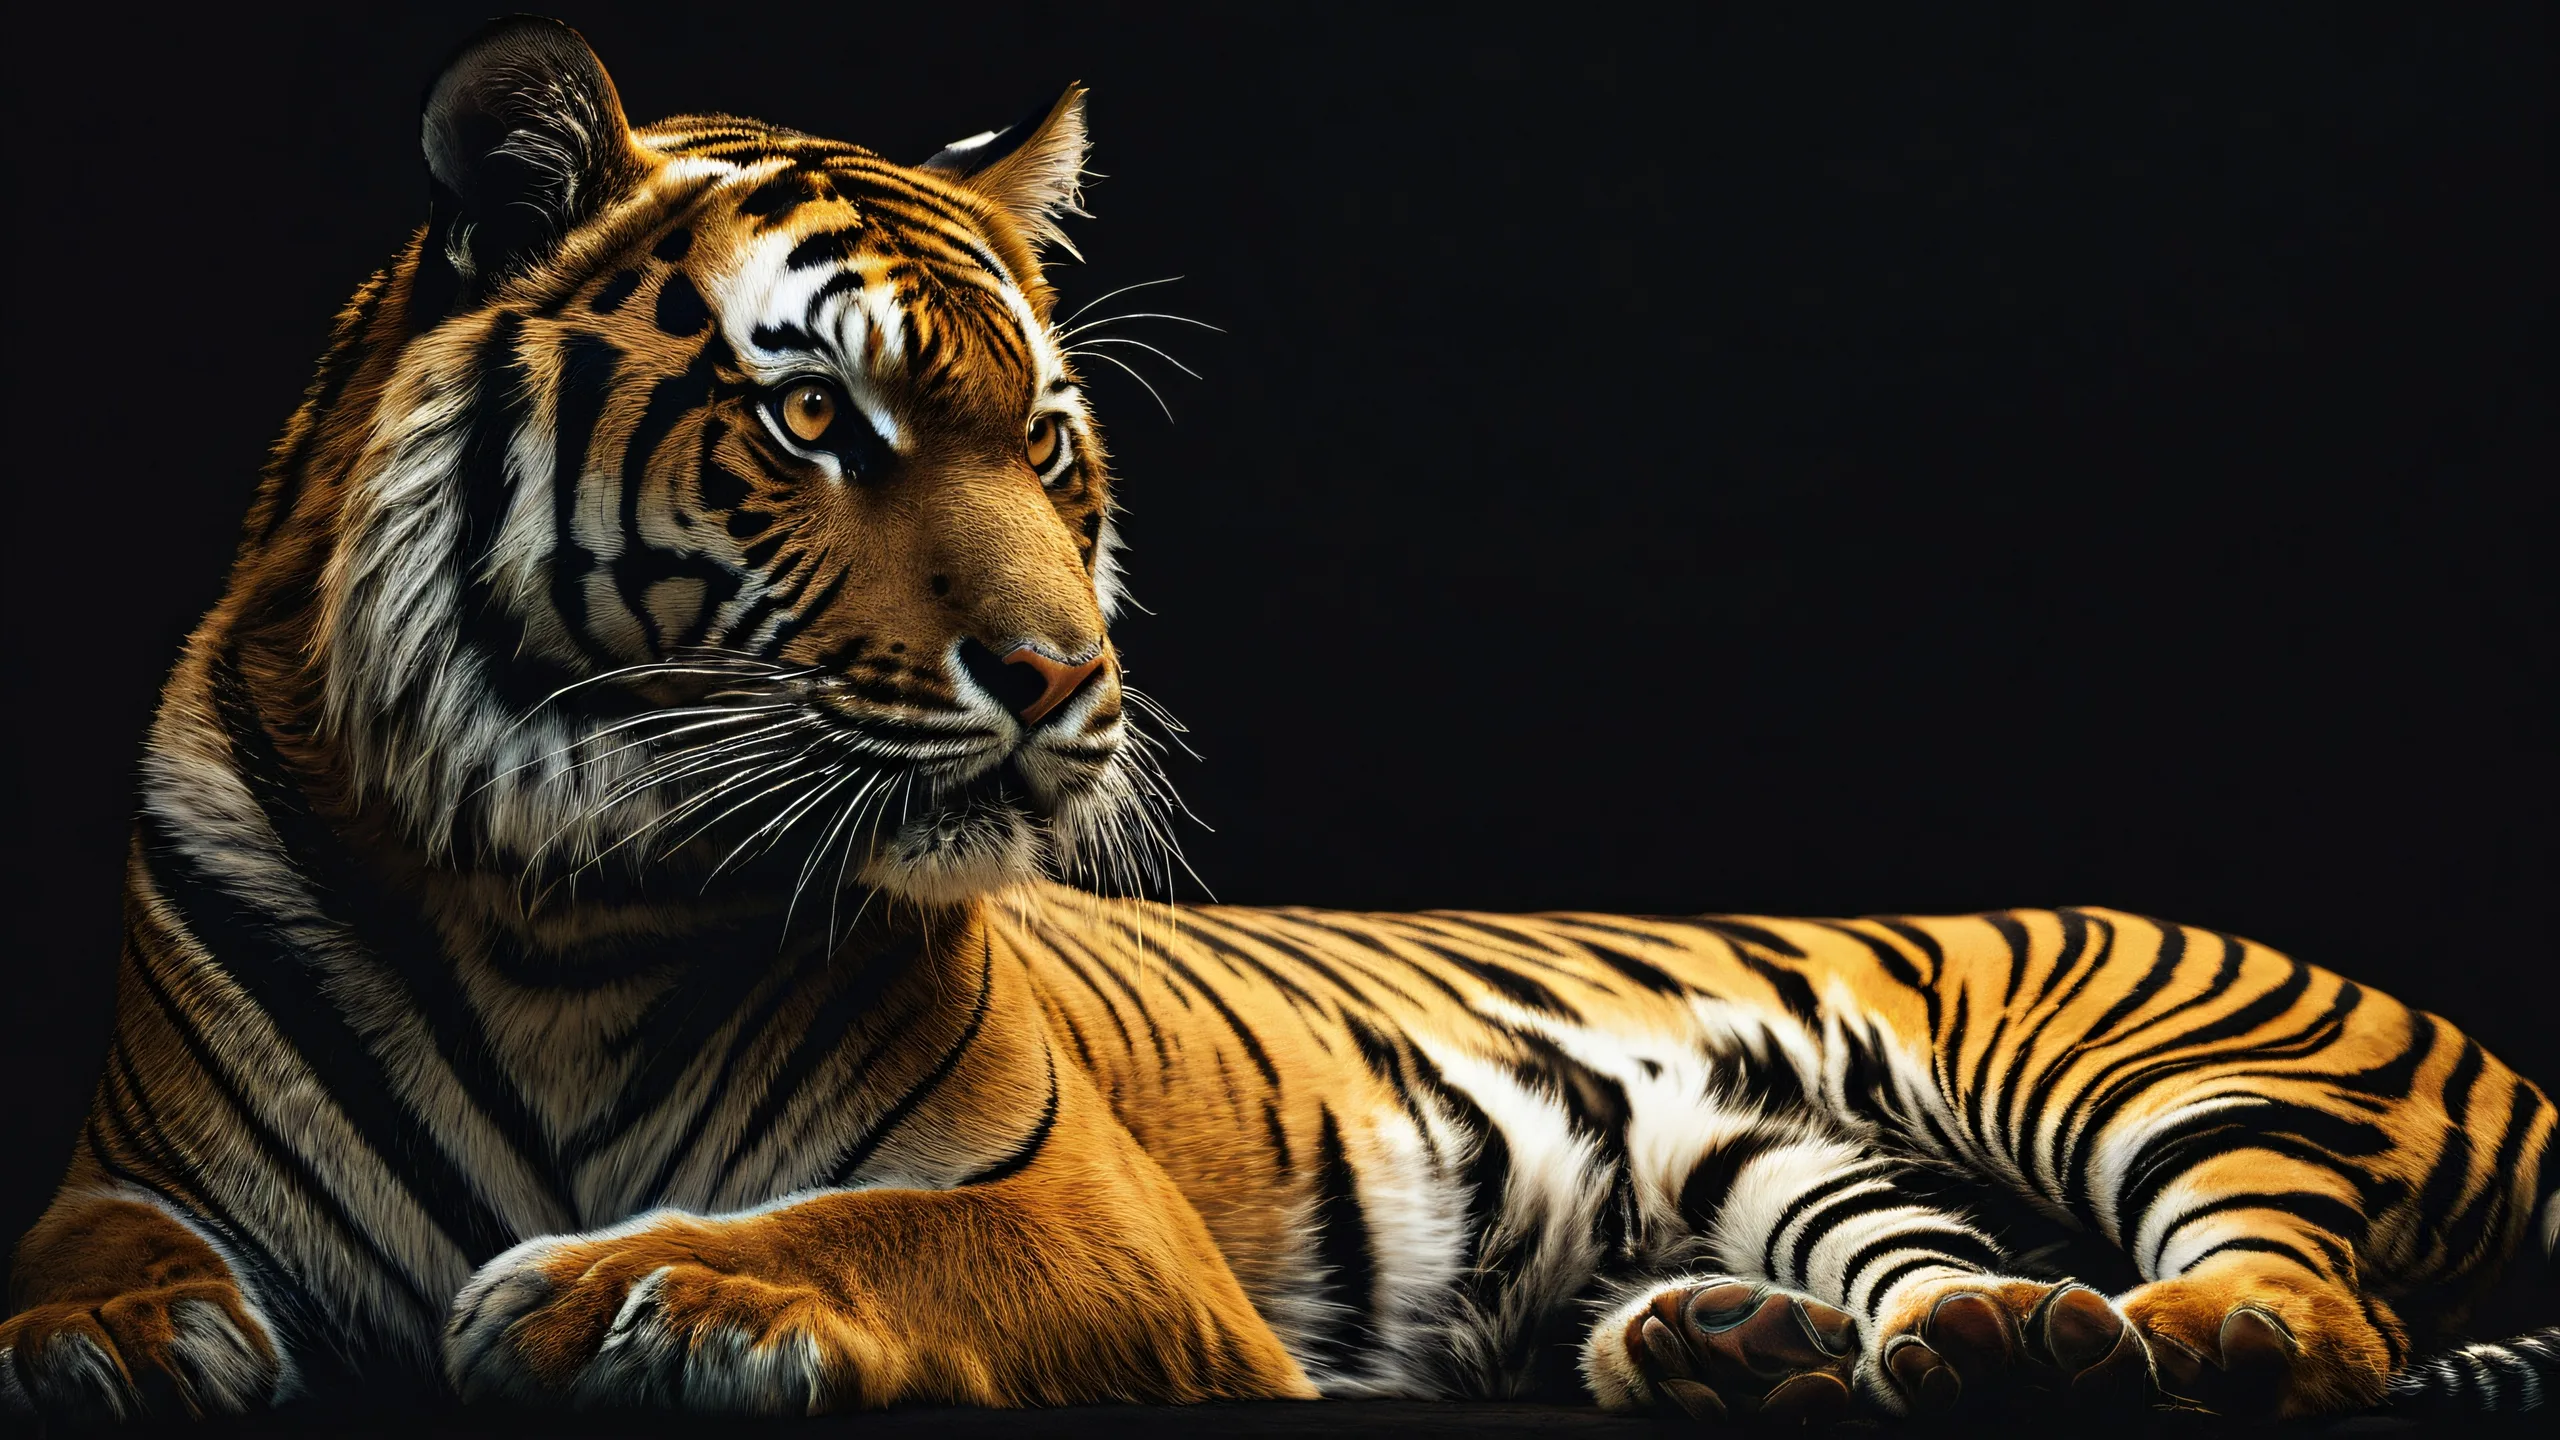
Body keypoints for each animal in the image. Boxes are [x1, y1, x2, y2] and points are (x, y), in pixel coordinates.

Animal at [4, 15, 2552, 1426]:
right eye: (816, 417)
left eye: (1047, 447)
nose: (1065, 683)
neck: (558, 894)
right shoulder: (140, 1163)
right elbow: (78, 1249)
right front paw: (96, 1341)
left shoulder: (1073, 1209)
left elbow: (869, 1240)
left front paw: (645, 1285)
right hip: (1824, 1177)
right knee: (1946, 1279)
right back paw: (1799, 1347)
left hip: (2151, 1058)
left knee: (2306, 1309)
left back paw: (2151, 1345)